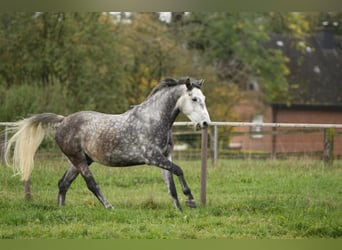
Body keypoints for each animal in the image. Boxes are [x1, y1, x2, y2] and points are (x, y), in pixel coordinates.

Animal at [6, 77, 211, 210]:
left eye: (204, 99)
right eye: (194, 99)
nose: (205, 123)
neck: (153, 120)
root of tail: (63, 120)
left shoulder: (165, 156)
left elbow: (171, 186)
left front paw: (180, 210)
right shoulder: (152, 157)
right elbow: (179, 171)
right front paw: (191, 200)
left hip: (80, 160)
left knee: (63, 183)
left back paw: (62, 209)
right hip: (78, 159)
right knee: (91, 183)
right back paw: (109, 207)